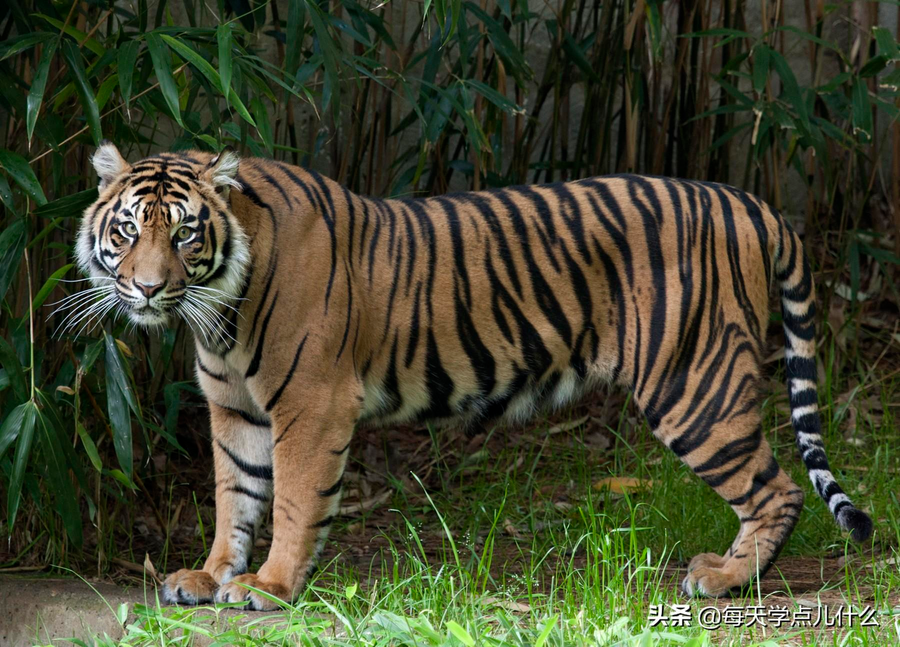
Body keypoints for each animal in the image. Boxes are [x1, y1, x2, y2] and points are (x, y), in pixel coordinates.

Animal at [72, 143, 872, 612]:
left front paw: (268, 586)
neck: (218, 309)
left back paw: (727, 579)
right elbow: (234, 499)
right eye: (128, 230)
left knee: (777, 488)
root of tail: (749, 201)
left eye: (185, 233)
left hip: (693, 384)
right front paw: (209, 576)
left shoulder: (311, 406)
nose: (146, 288)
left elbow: (294, 501)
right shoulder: (235, 409)